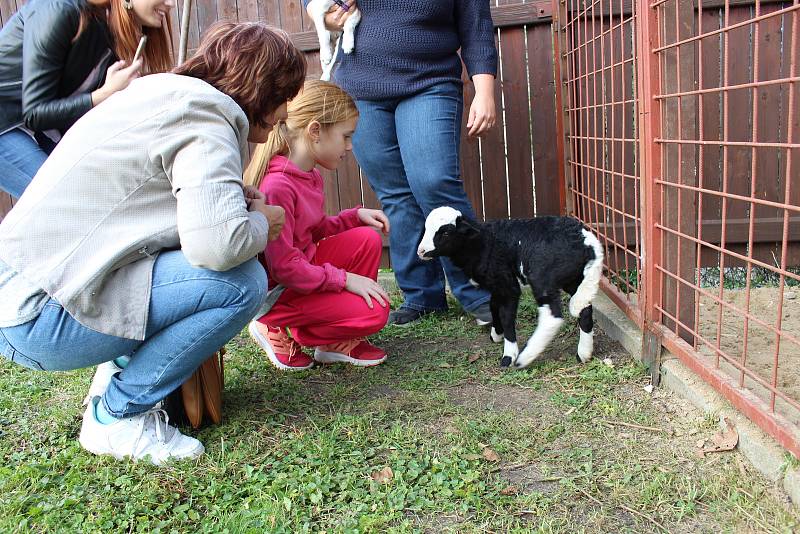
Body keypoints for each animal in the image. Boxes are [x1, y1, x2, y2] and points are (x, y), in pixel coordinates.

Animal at [418, 207, 600, 370]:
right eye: (426, 229)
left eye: (446, 233)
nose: (421, 251)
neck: (482, 243)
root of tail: (585, 239)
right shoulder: (498, 285)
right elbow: (493, 306)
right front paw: (496, 334)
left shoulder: (508, 285)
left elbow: (506, 316)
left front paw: (508, 355)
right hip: (574, 278)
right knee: (584, 309)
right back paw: (584, 354)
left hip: (542, 276)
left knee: (552, 316)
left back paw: (525, 357)